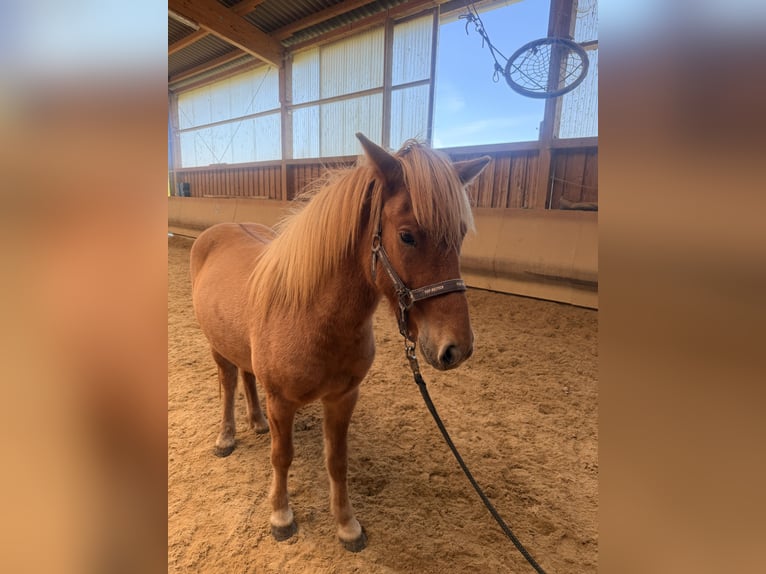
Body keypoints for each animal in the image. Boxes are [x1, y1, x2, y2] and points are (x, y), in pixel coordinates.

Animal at [189, 133, 490, 552]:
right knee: (229, 383)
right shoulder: (282, 402)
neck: (311, 315)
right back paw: (226, 437)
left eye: (460, 235)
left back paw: (257, 421)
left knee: (247, 378)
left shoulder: (343, 398)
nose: (457, 348)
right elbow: (282, 457)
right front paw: (281, 516)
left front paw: (347, 525)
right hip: (217, 349)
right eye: (407, 236)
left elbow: (337, 461)